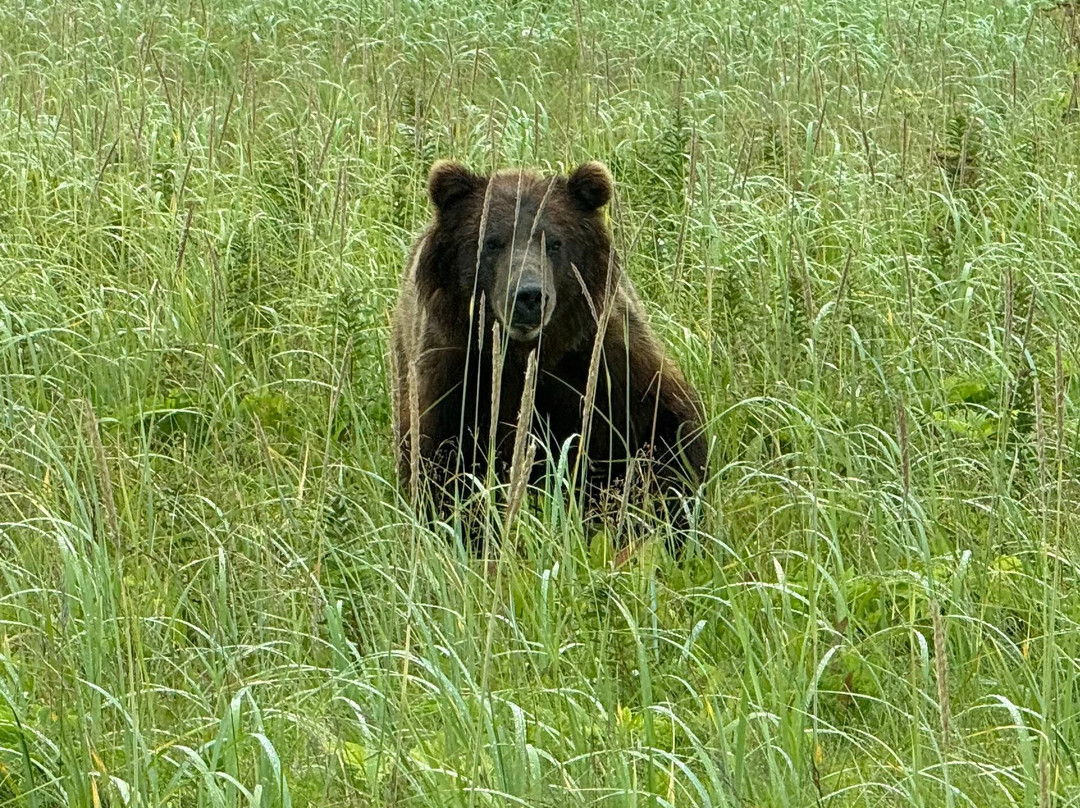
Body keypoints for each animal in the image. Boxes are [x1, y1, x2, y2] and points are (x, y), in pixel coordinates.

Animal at [390, 159, 707, 551]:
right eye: (491, 242)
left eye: (554, 242)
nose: (528, 295)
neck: (526, 353)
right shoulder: (458, 372)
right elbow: (446, 465)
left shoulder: (599, 359)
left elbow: (663, 431)